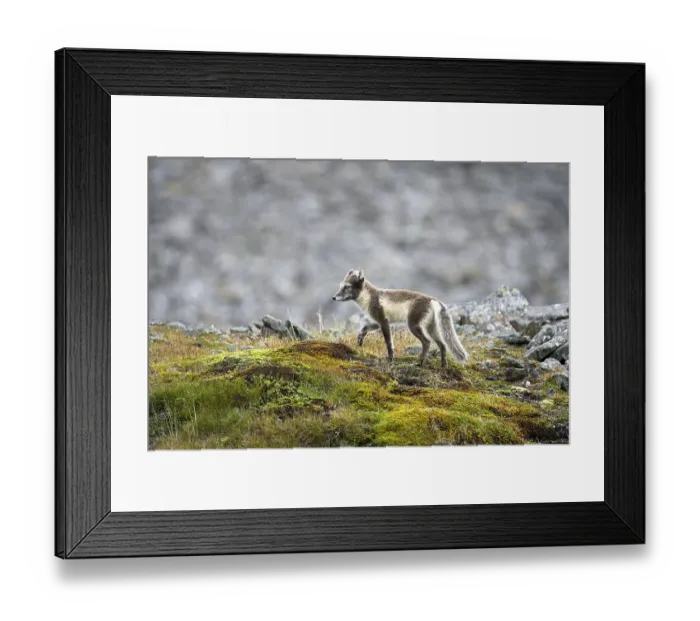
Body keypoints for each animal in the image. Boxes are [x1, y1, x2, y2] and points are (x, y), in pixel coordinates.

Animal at [331, 268, 468, 367]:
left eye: (346, 287)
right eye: (340, 286)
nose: (333, 297)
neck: (369, 297)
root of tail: (433, 300)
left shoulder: (383, 321)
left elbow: (389, 343)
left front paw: (390, 359)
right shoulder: (376, 321)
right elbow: (364, 329)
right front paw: (359, 343)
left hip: (413, 325)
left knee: (427, 342)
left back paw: (419, 363)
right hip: (431, 328)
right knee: (442, 345)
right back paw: (443, 366)